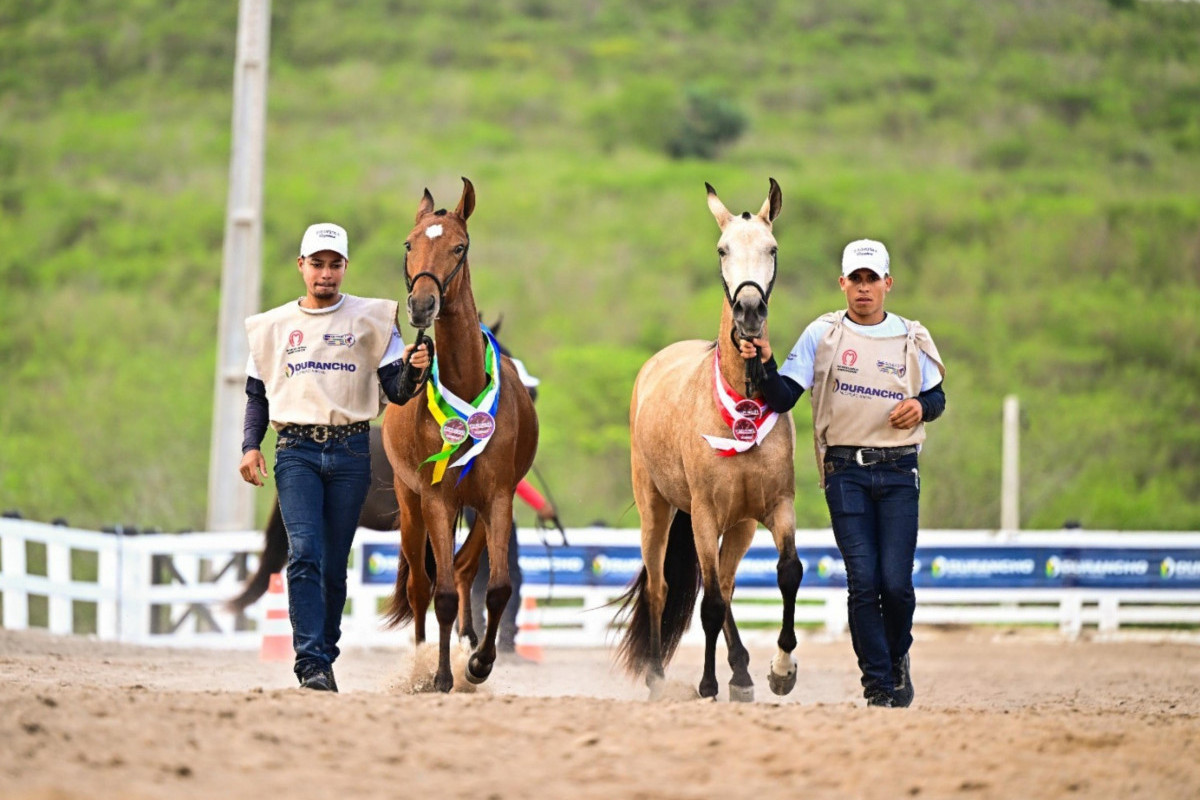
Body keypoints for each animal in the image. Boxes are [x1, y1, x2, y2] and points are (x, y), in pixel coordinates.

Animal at [380, 177, 539, 692]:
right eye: (410, 244)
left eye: (459, 247)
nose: (421, 305)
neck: (466, 385)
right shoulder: (436, 499)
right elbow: (442, 593)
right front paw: (441, 675)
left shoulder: (498, 497)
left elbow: (498, 587)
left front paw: (479, 663)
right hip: (412, 506)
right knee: (420, 586)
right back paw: (421, 661)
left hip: (477, 511)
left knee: (467, 569)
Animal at [616, 178, 802, 702]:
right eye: (722, 249)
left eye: (772, 248)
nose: (749, 311)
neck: (742, 406)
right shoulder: (703, 514)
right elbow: (710, 603)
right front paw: (706, 683)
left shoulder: (775, 507)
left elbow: (787, 573)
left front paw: (781, 670)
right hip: (657, 509)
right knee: (663, 587)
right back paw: (658, 676)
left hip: (739, 525)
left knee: (725, 581)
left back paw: (741, 671)